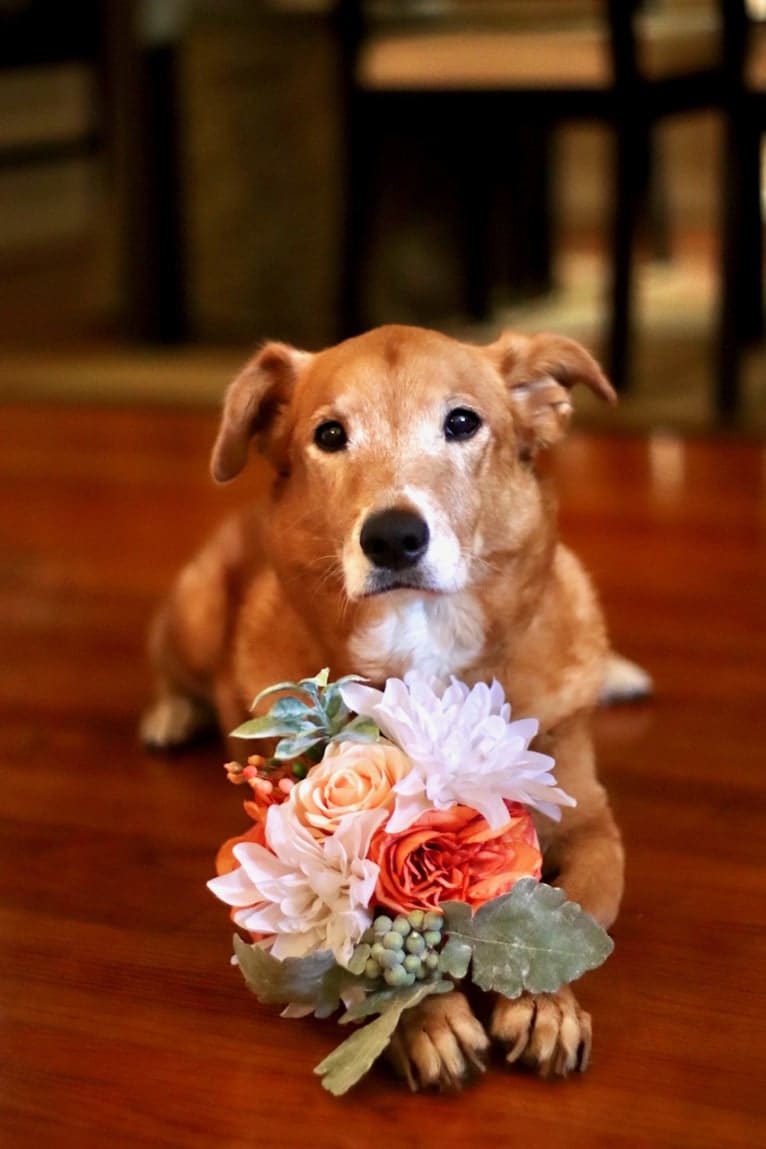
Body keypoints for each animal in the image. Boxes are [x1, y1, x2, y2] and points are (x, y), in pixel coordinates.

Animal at [142, 321, 633, 1084]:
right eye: (330, 434)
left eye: (461, 422)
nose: (394, 536)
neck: (422, 643)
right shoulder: (294, 851)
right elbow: (359, 930)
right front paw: (427, 1017)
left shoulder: (593, 831)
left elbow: (570, 913)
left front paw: (544, 1000)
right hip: (194, 616)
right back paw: (170, 714)